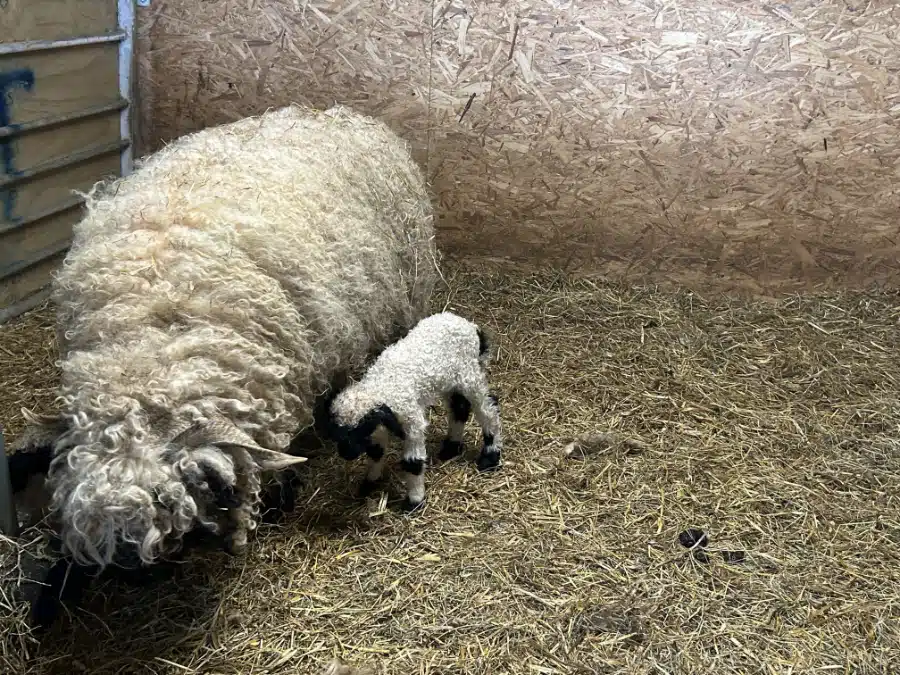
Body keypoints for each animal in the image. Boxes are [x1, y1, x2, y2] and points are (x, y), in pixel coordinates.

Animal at [325, 311, 503, 510]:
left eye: (360, 430)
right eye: (337, 432)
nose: (346, 454)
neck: (382, 386)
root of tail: (471, 326)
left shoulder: (411, 420)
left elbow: (413, 463)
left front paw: (414, 501)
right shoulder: (382, 422)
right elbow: (376, 451)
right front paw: (369, 483)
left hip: (469, 376)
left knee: (488, 410)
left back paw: (490, 456)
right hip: (450, 380)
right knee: (460, 408)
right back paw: (450, 448)